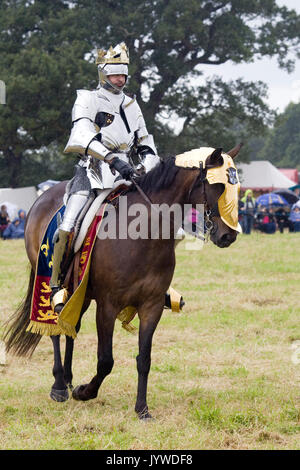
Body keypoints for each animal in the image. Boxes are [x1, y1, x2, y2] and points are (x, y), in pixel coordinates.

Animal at [2, 146, 241, 418]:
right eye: (218, 186)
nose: (228, 235)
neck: (143, 233)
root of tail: (40, 201)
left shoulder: (151, 306)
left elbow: (144, 359)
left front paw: (142, 409)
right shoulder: (107, 305)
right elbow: (106, 360)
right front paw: (85, 392)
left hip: (80, 293)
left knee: (70, 326)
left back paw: (70, 379)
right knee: (54, 327)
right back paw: (60, 385)